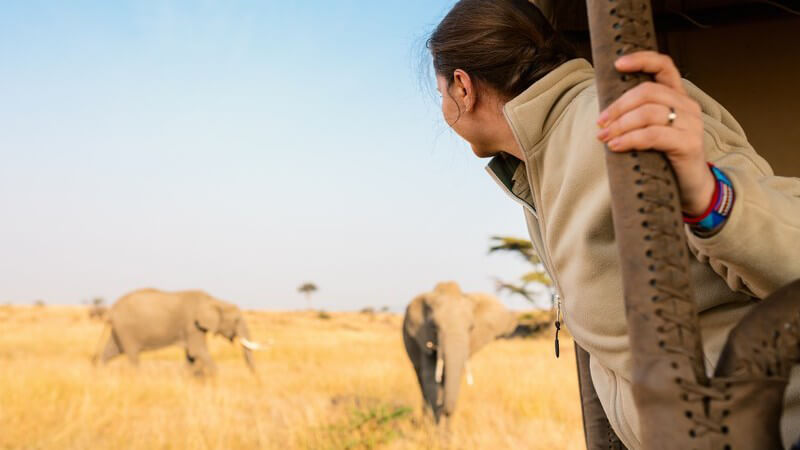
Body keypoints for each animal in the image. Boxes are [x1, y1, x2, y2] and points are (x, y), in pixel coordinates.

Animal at [93, 288, 268, 376]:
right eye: (237, 320)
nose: (255, 377)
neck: (215, 301)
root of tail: (111, 310)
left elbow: (191, 356)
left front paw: (189, 378)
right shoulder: (193, 324)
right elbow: (198, 351)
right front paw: (216, 379)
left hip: (119, 330)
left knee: (110, 351)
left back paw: (100, 375)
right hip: (127, 329)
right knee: (132, 354)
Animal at [400, 280, 520, 424]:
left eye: (471, 327)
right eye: (434, 327)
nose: (443, 407)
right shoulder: (423, 337)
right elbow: (430, 377)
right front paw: (436, 426)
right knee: (421, 380)